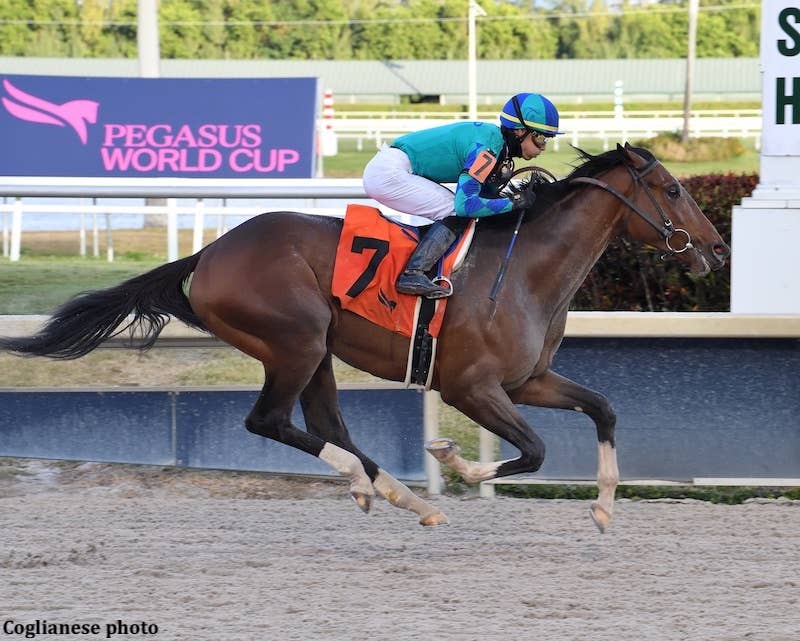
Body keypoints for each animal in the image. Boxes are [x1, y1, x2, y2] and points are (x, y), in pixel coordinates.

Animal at [0, 143, 730, 531]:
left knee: (325, 422)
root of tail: (209, 253)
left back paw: (400, 495)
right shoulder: (471, 387)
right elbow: (534, 450)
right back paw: (376, 483)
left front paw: (604, 508)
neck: (526, 268)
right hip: (294, 340)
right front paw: (453, 460)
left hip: (315, 349)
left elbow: (602, 409)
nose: (717, 249)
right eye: (671, 188)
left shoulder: (529, 380)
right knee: (271, 421)